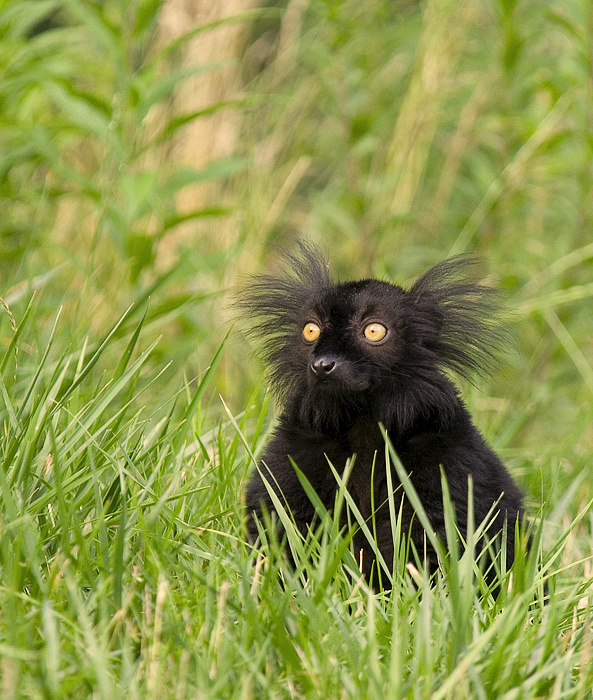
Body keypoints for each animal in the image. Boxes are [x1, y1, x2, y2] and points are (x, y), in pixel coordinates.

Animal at [238, 243, 527, 589]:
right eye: (311, 329)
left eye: (374, 330)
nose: (323, 364)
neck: (364, 422)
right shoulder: (296, 454)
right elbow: (280, 526)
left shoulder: (447, 464)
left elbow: (430, 541)